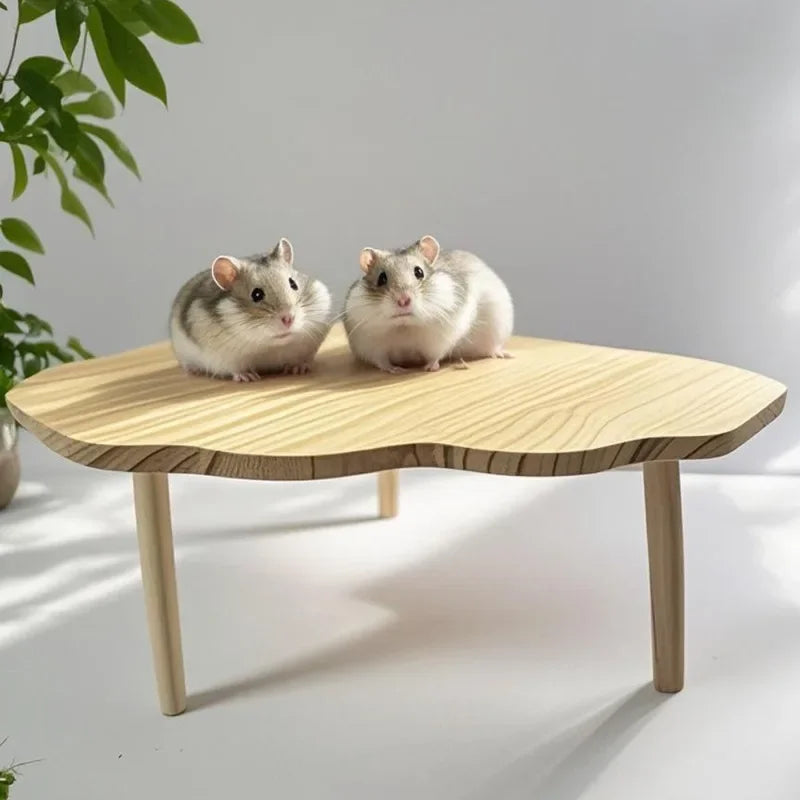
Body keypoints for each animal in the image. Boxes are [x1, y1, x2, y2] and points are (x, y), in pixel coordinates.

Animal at [169, 238, 331, 381]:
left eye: (293, 284)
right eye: (256, 294)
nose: (288, 319)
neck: (271, 346)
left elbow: (301, 360)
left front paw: (299, 369)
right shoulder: (226, 358)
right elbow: (236, 369)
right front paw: (248, 377)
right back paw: (194, 370)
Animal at [343, 235, 513, 373]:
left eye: (419, 272)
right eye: (381, 278)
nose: (403, 301)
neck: (404, 326)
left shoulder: (441, 339)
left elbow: (435, 355)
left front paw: (429, 368)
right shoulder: (372, 345)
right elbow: (382, 361)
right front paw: (396, 370)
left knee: (493, 347)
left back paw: (504, 354)